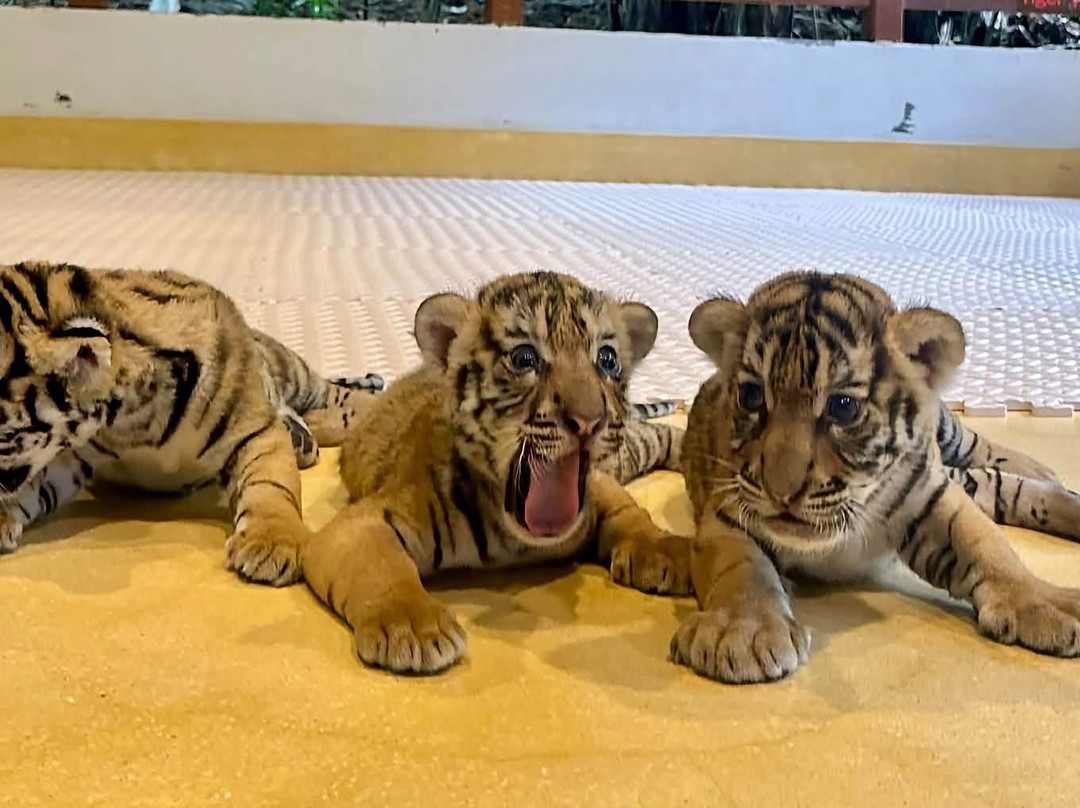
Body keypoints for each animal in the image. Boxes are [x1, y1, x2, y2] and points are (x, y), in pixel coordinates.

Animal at [0, 260, 381, 586]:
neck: (127, 418)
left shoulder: (253, 430)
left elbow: (272, 485)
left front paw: (270, 543)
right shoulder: (70, 453)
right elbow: (33, 485)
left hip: (290, 369)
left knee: (332, 392)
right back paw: (303, 437)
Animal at [302, 270, 689, 675]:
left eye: (607, 359)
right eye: (524, 358)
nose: (588, 421)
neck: (517, 540)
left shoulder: (597, 488)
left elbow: (630, 511)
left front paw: (666, 551)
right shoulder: (362, 523)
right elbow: (381, 566)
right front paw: (413, 627)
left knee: (657, 435)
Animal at [670, 270, 1080, 684]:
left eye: (843, 406)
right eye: (752, 397)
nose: (781, 493)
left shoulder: (928, 494)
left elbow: (986, 545)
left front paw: (1043, 603)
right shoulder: (728, 510)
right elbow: (741, 566)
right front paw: (742, 631)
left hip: (946, 432)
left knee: (980, 449)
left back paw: (1042, 471)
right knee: (1000, 488)